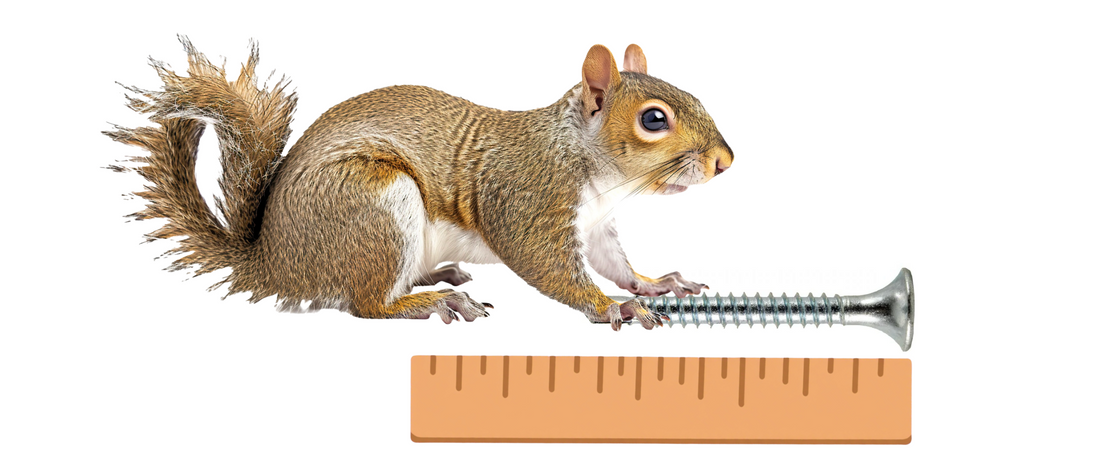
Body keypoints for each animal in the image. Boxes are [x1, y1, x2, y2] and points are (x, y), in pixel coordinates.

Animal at [106, 38, 733, 330]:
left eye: (694, 94)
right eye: (654, 119)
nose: (725, 161)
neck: (590, 165)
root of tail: (275, 262)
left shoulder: (597, 226)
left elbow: (616, 263)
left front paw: (655, 284)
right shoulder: (526, 199)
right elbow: (550, 268)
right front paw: (612, 307)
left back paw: (436, 278)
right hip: (375, 205)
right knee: (364, 306)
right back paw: (433, 302)